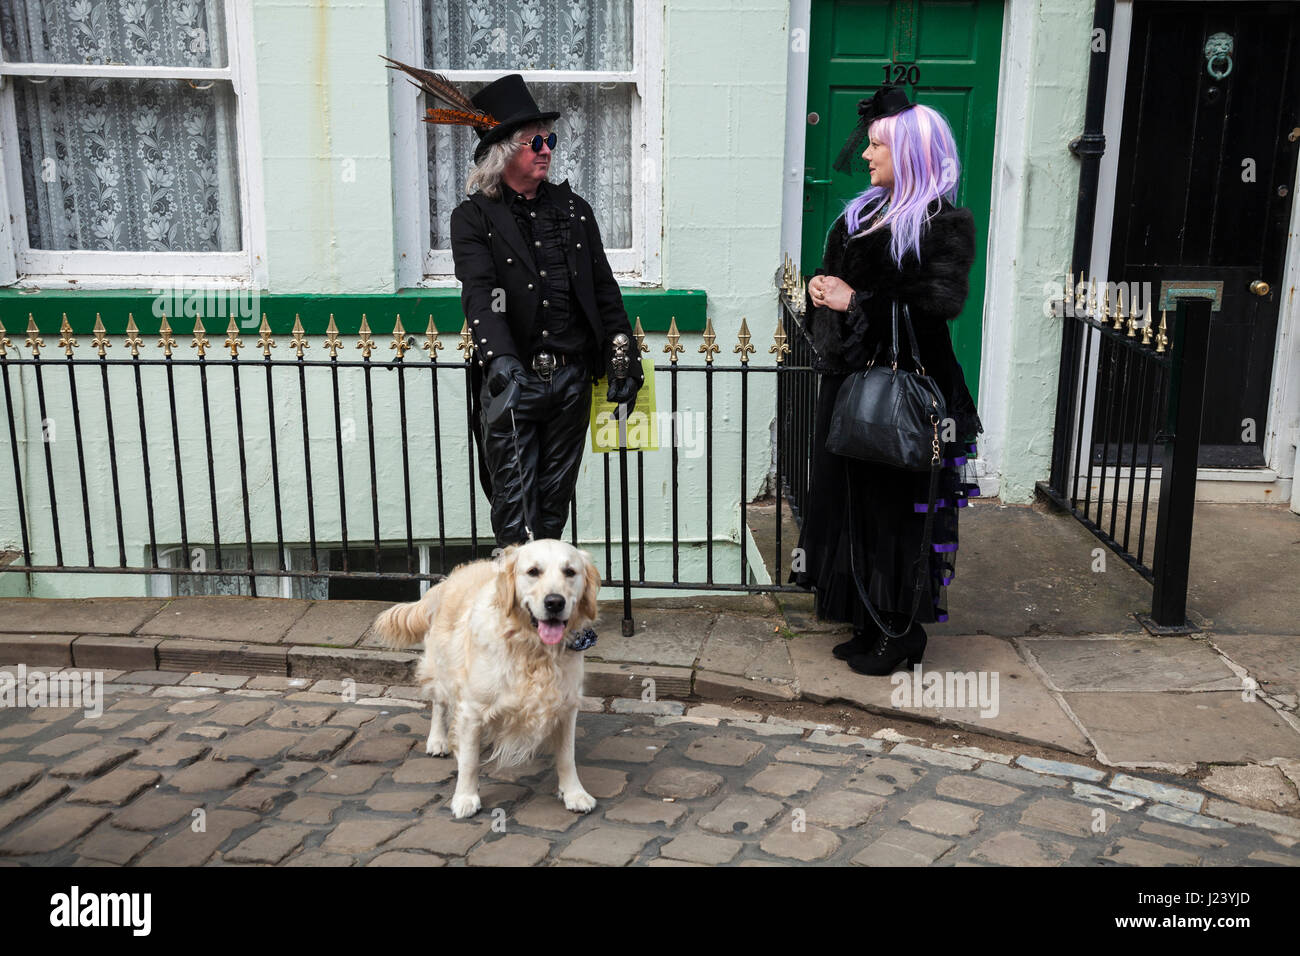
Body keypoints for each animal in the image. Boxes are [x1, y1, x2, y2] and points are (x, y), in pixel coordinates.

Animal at [374, 541, 600, 816]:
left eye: (570, 572)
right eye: (533, 571)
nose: (555, 602)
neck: (532, 649)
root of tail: (449, 579)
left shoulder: (567, 706)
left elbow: (567, 756)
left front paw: (574, 794)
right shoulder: (472, 708)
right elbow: (470, 761)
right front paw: (465, 798)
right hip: (442, 666)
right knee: (439, 704)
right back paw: (438, 740)